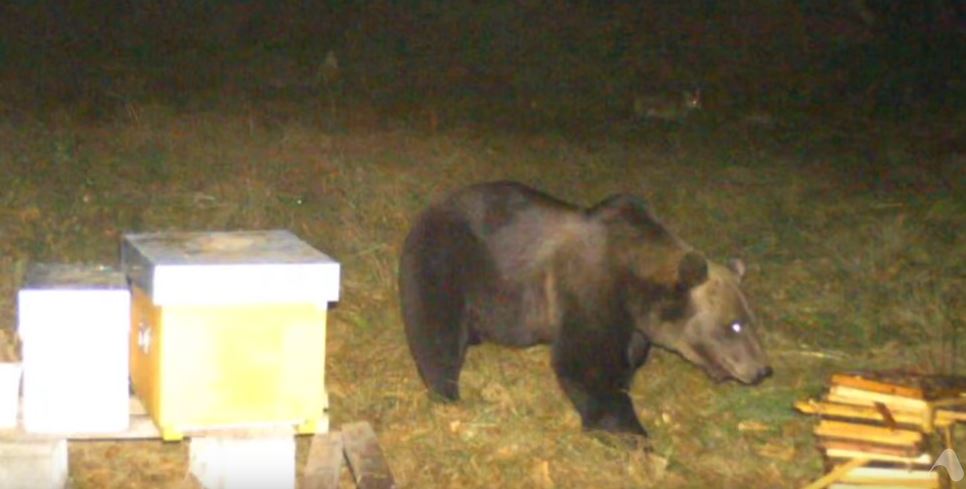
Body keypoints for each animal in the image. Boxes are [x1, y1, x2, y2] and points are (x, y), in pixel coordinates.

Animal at [398, 181, 771, 436]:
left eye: (750, 320)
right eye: (734, 325)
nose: (762, 370)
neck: (635, 285)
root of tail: (432, 205)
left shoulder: (630, 324)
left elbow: (626, 359)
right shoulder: (589, 289)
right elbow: (584, 363)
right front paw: (630, 432)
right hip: (448, 259)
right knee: (436, 329)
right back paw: (446, 389)